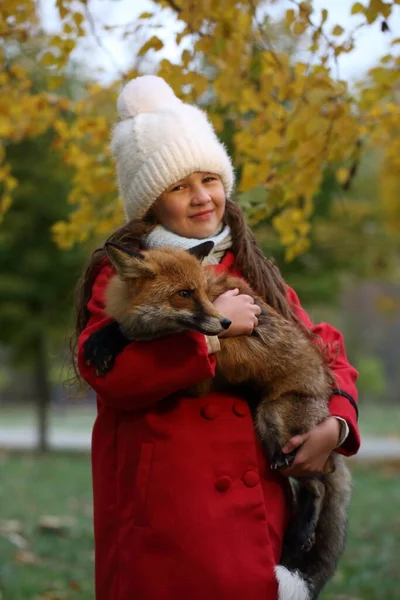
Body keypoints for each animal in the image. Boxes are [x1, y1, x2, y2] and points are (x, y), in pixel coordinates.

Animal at [83, 240, 352, 600]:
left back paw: (300, 536)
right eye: (184, 293)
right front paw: (106, 337)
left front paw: (109, 340)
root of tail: (325, 388)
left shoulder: (201, 376)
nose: (226, 321)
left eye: (199, 291)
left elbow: (144, 338)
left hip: (275, 429)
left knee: (319, 484)